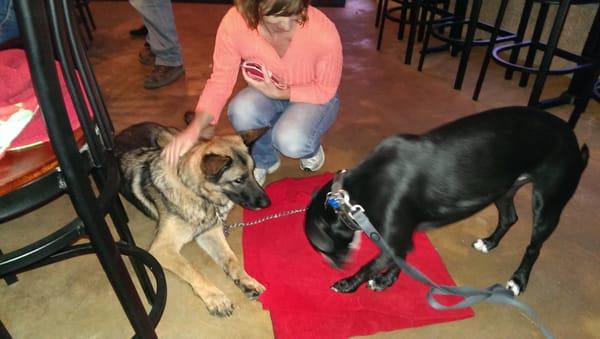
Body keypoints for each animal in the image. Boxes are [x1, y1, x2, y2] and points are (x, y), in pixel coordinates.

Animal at [112, 119, 270, 316]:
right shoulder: (162, 248)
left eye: (253, 171)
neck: (195, 192)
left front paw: (246, 280)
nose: (268, 203)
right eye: (239, 180)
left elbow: (232, 259)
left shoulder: (210, 234)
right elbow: (192, 270)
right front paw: (215, 297)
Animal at [308, 106, 588, 298]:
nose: (336, 266)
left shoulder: (392, 241)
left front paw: (348, 284)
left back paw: (518, 279)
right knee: (510, 218)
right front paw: (386, 281)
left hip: (548, 203)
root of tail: (574, 142)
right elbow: (400, 261)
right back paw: (489, 242)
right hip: (503, 189)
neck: (351, 194)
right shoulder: (400, 239)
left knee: (533, 247)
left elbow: (370, 266)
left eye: (323, 250)